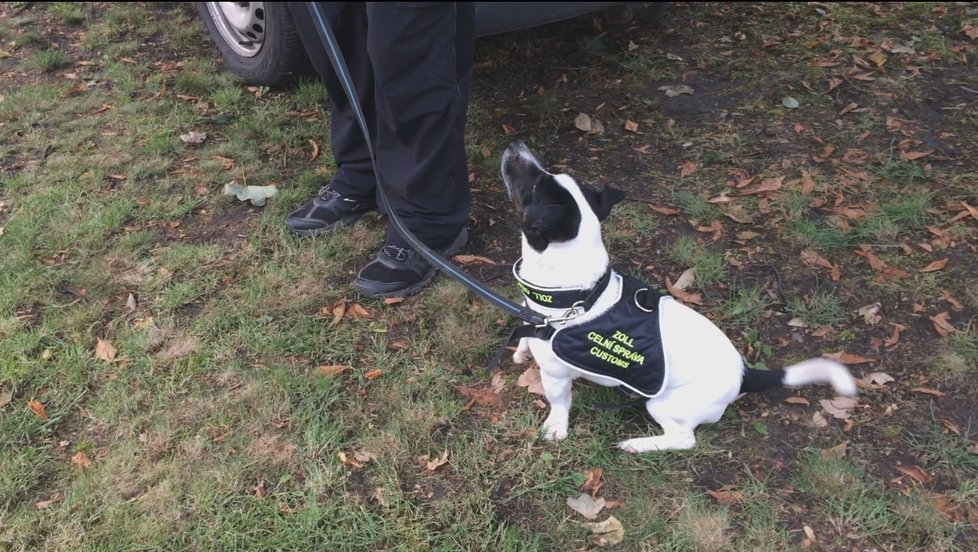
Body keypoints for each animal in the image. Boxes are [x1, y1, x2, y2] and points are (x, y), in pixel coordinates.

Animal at [500, 141, 852, 452]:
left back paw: (639, 445)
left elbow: (559, 402)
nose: (516, 144)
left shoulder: (556, 375)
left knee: (684, 439)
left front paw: (555, 427)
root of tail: (745, 374)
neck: (574, 296)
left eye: (535, 183)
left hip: (663, 404)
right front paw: (522, 350)